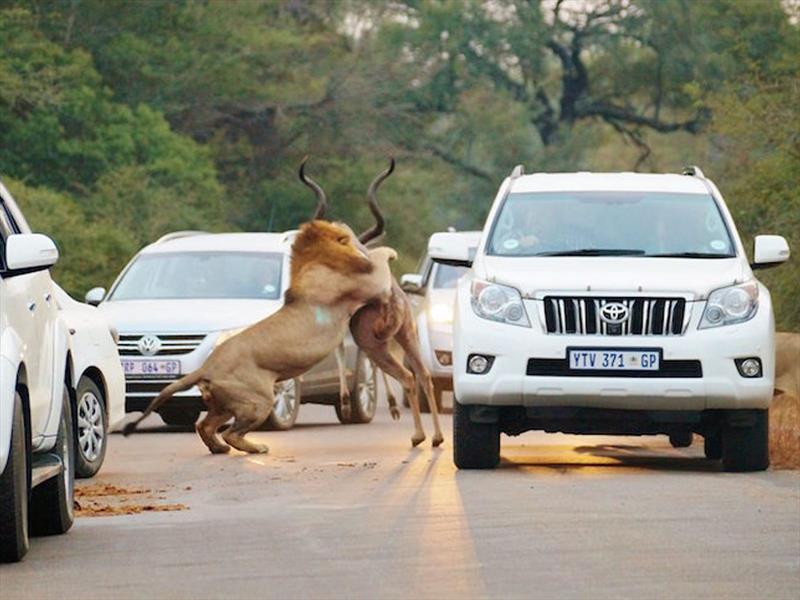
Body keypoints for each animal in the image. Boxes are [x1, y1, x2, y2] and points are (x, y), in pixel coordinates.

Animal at [298, 158, 444, 446]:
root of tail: (392, 300)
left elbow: (340, 351)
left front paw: (345, 404)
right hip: (405, 335)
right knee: (424, 375)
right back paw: (436, 438)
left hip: (374, 341)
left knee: (407, 376)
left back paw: (417, 436)